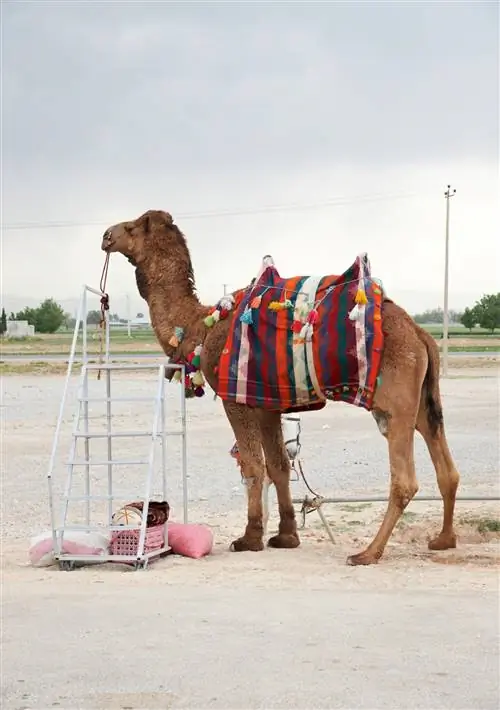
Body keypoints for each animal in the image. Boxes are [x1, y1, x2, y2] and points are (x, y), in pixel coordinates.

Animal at [101, 209, 460, 565]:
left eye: (131, 227)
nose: (106, 235)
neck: (200, 327)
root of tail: (420, 333)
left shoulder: (236, 398)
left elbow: (253, 466)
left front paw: (249, 538)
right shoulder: (267, 403)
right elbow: (279, 466)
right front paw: (286, 536)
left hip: (395, 400)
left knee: (405, 481)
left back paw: (367, 553)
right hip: (422, 400)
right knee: (446, 467)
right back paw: (443, 540)